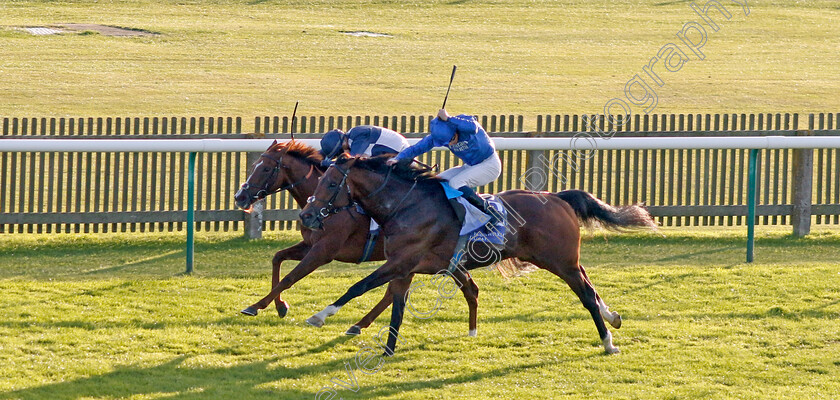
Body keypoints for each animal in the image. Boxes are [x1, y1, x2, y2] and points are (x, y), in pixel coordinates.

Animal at [231, 142, 480, 336]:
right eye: (254, 166)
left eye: (264, 168)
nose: (240, 197)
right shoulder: (310, 244)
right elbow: (277, 258)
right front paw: (280, 306)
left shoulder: (324, 251)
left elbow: (290, 277)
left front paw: (256, 306)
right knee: (394, 291)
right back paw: (358, 325)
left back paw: (358, 324)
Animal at [298, 155, 660, 354]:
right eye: (321, 180)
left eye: (331, 184)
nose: (306, 215)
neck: (407, 206)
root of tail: (557, 197)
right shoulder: (405, 266)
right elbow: (397, 305)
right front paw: (387, 349)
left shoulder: (400, 261)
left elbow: (358, 286)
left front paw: (320, 315)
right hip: (568, 261)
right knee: (591, 286)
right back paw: (613, 318)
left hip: (560, 261)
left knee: (586, 294)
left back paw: (608, 342)